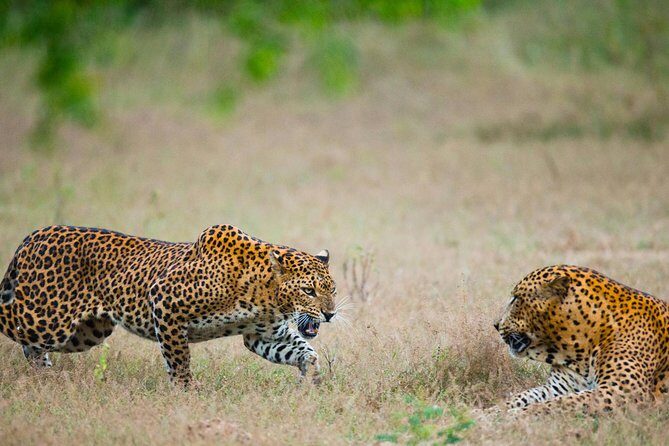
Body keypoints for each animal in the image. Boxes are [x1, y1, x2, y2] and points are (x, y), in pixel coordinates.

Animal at [0, 224, 337, 387]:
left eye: (332, 289)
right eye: (308, 290)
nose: (330, 313)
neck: (266, 293)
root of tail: (34, 234)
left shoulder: (263, 335)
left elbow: (302, 350)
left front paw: (313, 377)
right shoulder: (164, 299)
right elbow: (177, 355)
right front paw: (187, 390)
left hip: (85, 332)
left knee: (34, 349)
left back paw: (45, 377)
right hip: (44, 318)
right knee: (13, 324)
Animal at [493, 265, 669, 414]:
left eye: (516, 299)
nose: (495, 324)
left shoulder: (623, 392)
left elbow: (558, 404)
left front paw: (511, 416)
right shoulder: (557, 388)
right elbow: (522, 396)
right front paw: (491, 413)